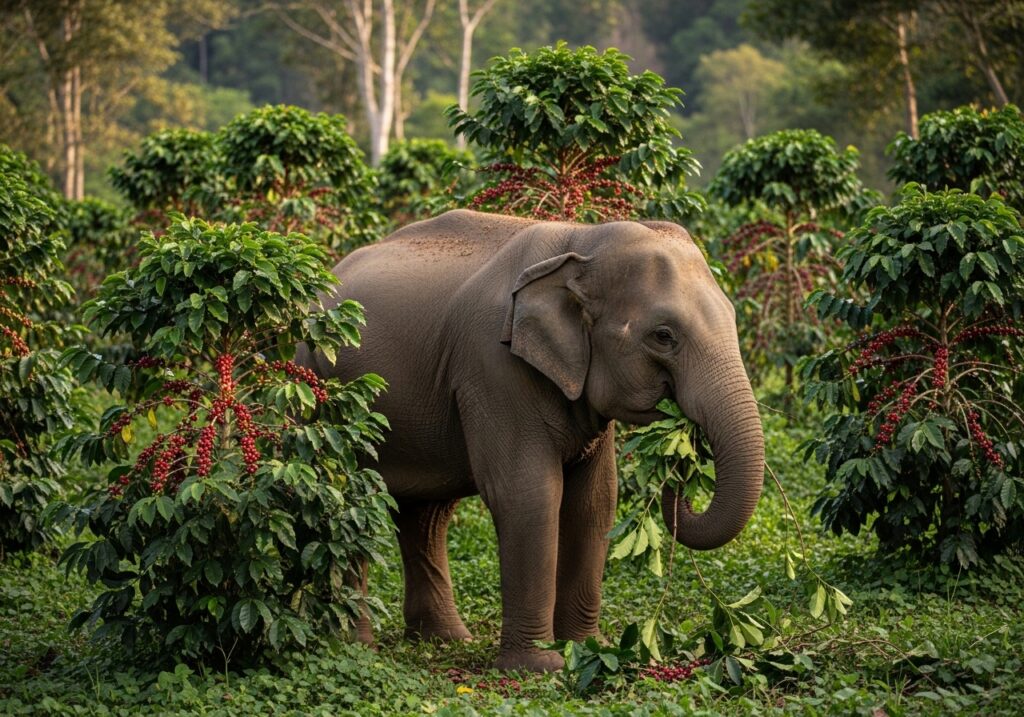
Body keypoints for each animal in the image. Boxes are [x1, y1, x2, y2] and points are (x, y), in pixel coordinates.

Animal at [297, 209, 764, 672]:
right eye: (663, 336)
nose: (682, 454)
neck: (581, 242)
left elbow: (595, 499)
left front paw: (589, 648)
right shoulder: (493, 367)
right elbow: (528, 494)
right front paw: (540, 667)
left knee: (427, 514)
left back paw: (444, 640)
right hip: (318, 391)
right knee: (340, 499)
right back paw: (352, 648)